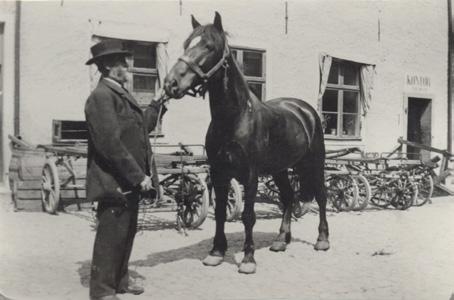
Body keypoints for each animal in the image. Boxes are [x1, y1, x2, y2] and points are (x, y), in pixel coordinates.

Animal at [164, 12, 330, 274]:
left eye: (209, 47)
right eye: (186, 45)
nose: (171, 84)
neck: (234, 118)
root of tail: (306, 111)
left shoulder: (251, 175)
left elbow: (248, 216)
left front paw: (248, 259)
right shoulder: (219, 172)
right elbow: (220, 212)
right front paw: (216, 253)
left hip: (314, 163)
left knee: (321, 196)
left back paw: (322, 240)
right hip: (280, 169)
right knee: (288, 197)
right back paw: (281, 240)